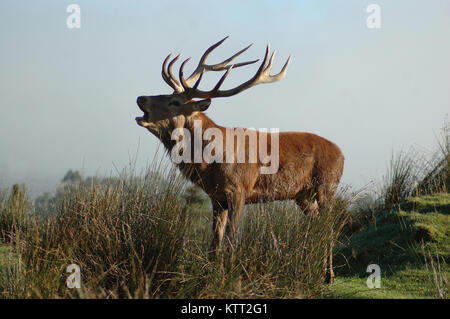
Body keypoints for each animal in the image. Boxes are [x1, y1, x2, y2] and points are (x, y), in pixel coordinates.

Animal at [134, 37, 344, 284]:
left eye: (174, 101)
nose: (140, 98)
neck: (210, 162)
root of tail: (342, 153)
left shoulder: (239, 189)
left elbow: (231, 238)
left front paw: (229, 274)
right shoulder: (216, 197)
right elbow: (214, 241)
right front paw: (209, 273)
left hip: (327, 186)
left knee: (328, 226)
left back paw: (328, 275)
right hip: (302, 194)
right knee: (316, 221)